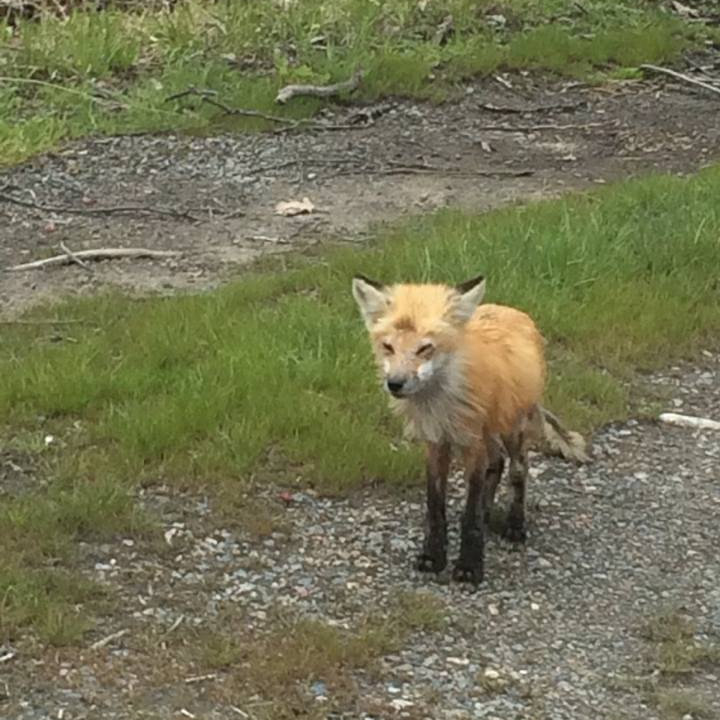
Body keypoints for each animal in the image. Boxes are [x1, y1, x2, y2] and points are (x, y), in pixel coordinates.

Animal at [352, 273, 588, 585]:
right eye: (388, 347)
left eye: (425, 348)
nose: (395, 384)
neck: (443, 405)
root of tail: (510, 310)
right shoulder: (437, 442)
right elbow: (435, 506)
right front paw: (433, 556)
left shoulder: (471, 442)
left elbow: (470, 513)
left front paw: (469, 565)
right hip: (488, 435)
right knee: (497, 464)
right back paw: (490, 515)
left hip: (511, 429)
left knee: (517, 470)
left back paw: (515, 526)